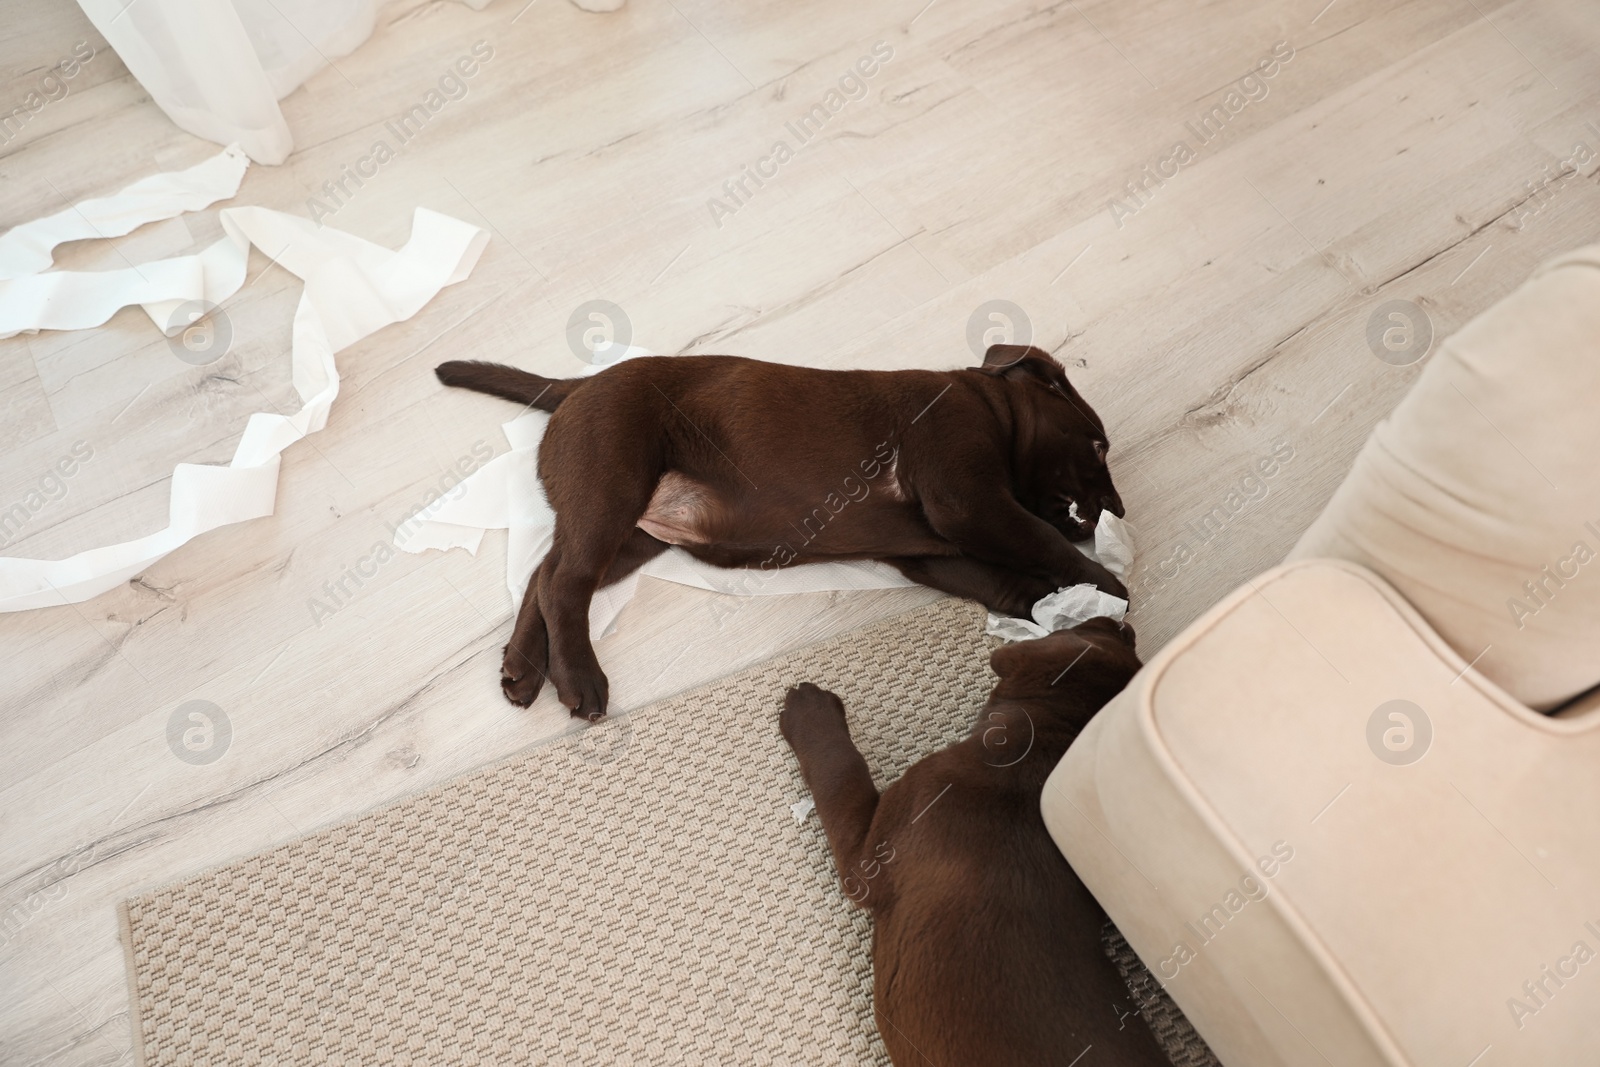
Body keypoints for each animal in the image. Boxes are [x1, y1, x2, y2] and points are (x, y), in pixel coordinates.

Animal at [432, 347, 1120, 723]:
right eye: (1097, 445)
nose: (1116, 507)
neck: (993, 411)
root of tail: (578, 386)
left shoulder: (929, 553)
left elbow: (1008, 581)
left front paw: (1070, 610)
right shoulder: (969, 502)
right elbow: (1046, 542)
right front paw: (1112, 588)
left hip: (633, 532)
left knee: (546, 573)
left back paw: (523, 669)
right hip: (612, 484)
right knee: (567, 581)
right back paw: (578, 678)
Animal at [774, 617, 1164, 1067]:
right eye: (1124, 641)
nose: (1123, 622)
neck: (1045, 741)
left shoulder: (870, 855)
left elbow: (839, 769)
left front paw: (810, 709)